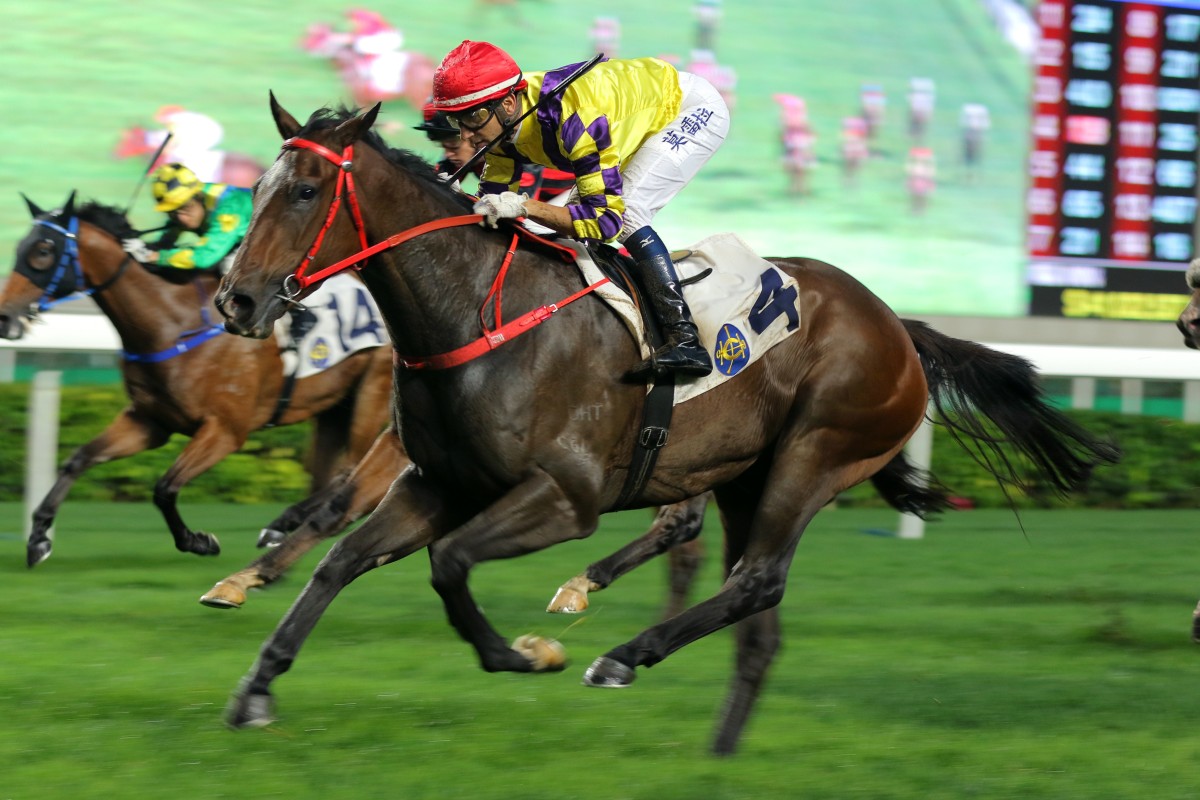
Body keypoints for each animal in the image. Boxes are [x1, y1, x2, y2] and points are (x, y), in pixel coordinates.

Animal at [0, 194, 388, 568]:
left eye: (43, 251)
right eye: (20, 247)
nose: (4, 317)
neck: (171, 323)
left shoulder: (225, 431)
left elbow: (165, 487)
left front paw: (198, 541)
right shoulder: (149, 421)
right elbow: (78, 459)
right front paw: (39, 539)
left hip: (372, 391)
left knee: (349, 470)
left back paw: (281, 523)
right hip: (335, 405)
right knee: (332, 472)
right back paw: (284, 525)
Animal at [211, 100, 1118, 758]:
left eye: (303, 192)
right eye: (257, 187)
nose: (236, 300)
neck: (475, 312)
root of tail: (897, 324)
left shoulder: (566, 497)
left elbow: (450, 562)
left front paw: (526, 653)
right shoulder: (440, 482)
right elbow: (340, 560)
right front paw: (256, 685)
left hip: (814, 455)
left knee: (756, 581)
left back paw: (621, 655)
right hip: (747, 477)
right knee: (757, 622)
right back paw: (716, 755)